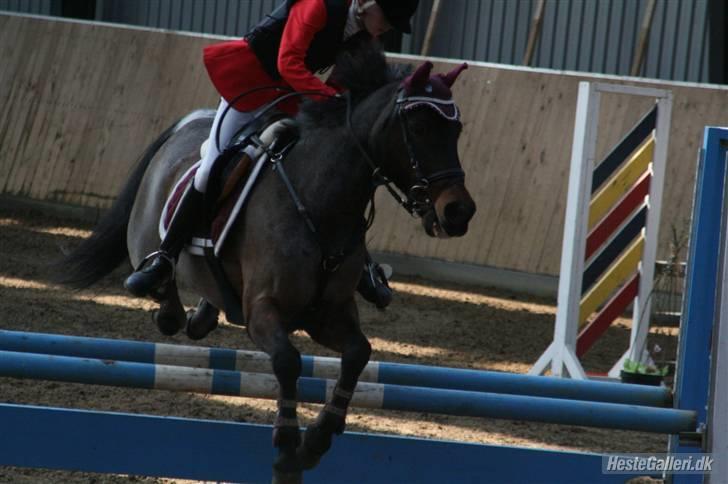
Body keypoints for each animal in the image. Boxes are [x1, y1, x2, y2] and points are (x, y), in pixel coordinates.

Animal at [58, 43, 478, 482]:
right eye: (419, 128)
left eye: (456, 131)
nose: (458, 212)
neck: (320, 204)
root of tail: (187, 125)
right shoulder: (264, 310)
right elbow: (288, 362)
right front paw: (288, 451)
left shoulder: (328, 314)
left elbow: (358, 355)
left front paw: (317, 440)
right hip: (145, 238)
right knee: (161, 283)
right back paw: (165, 298)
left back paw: (203, 313)